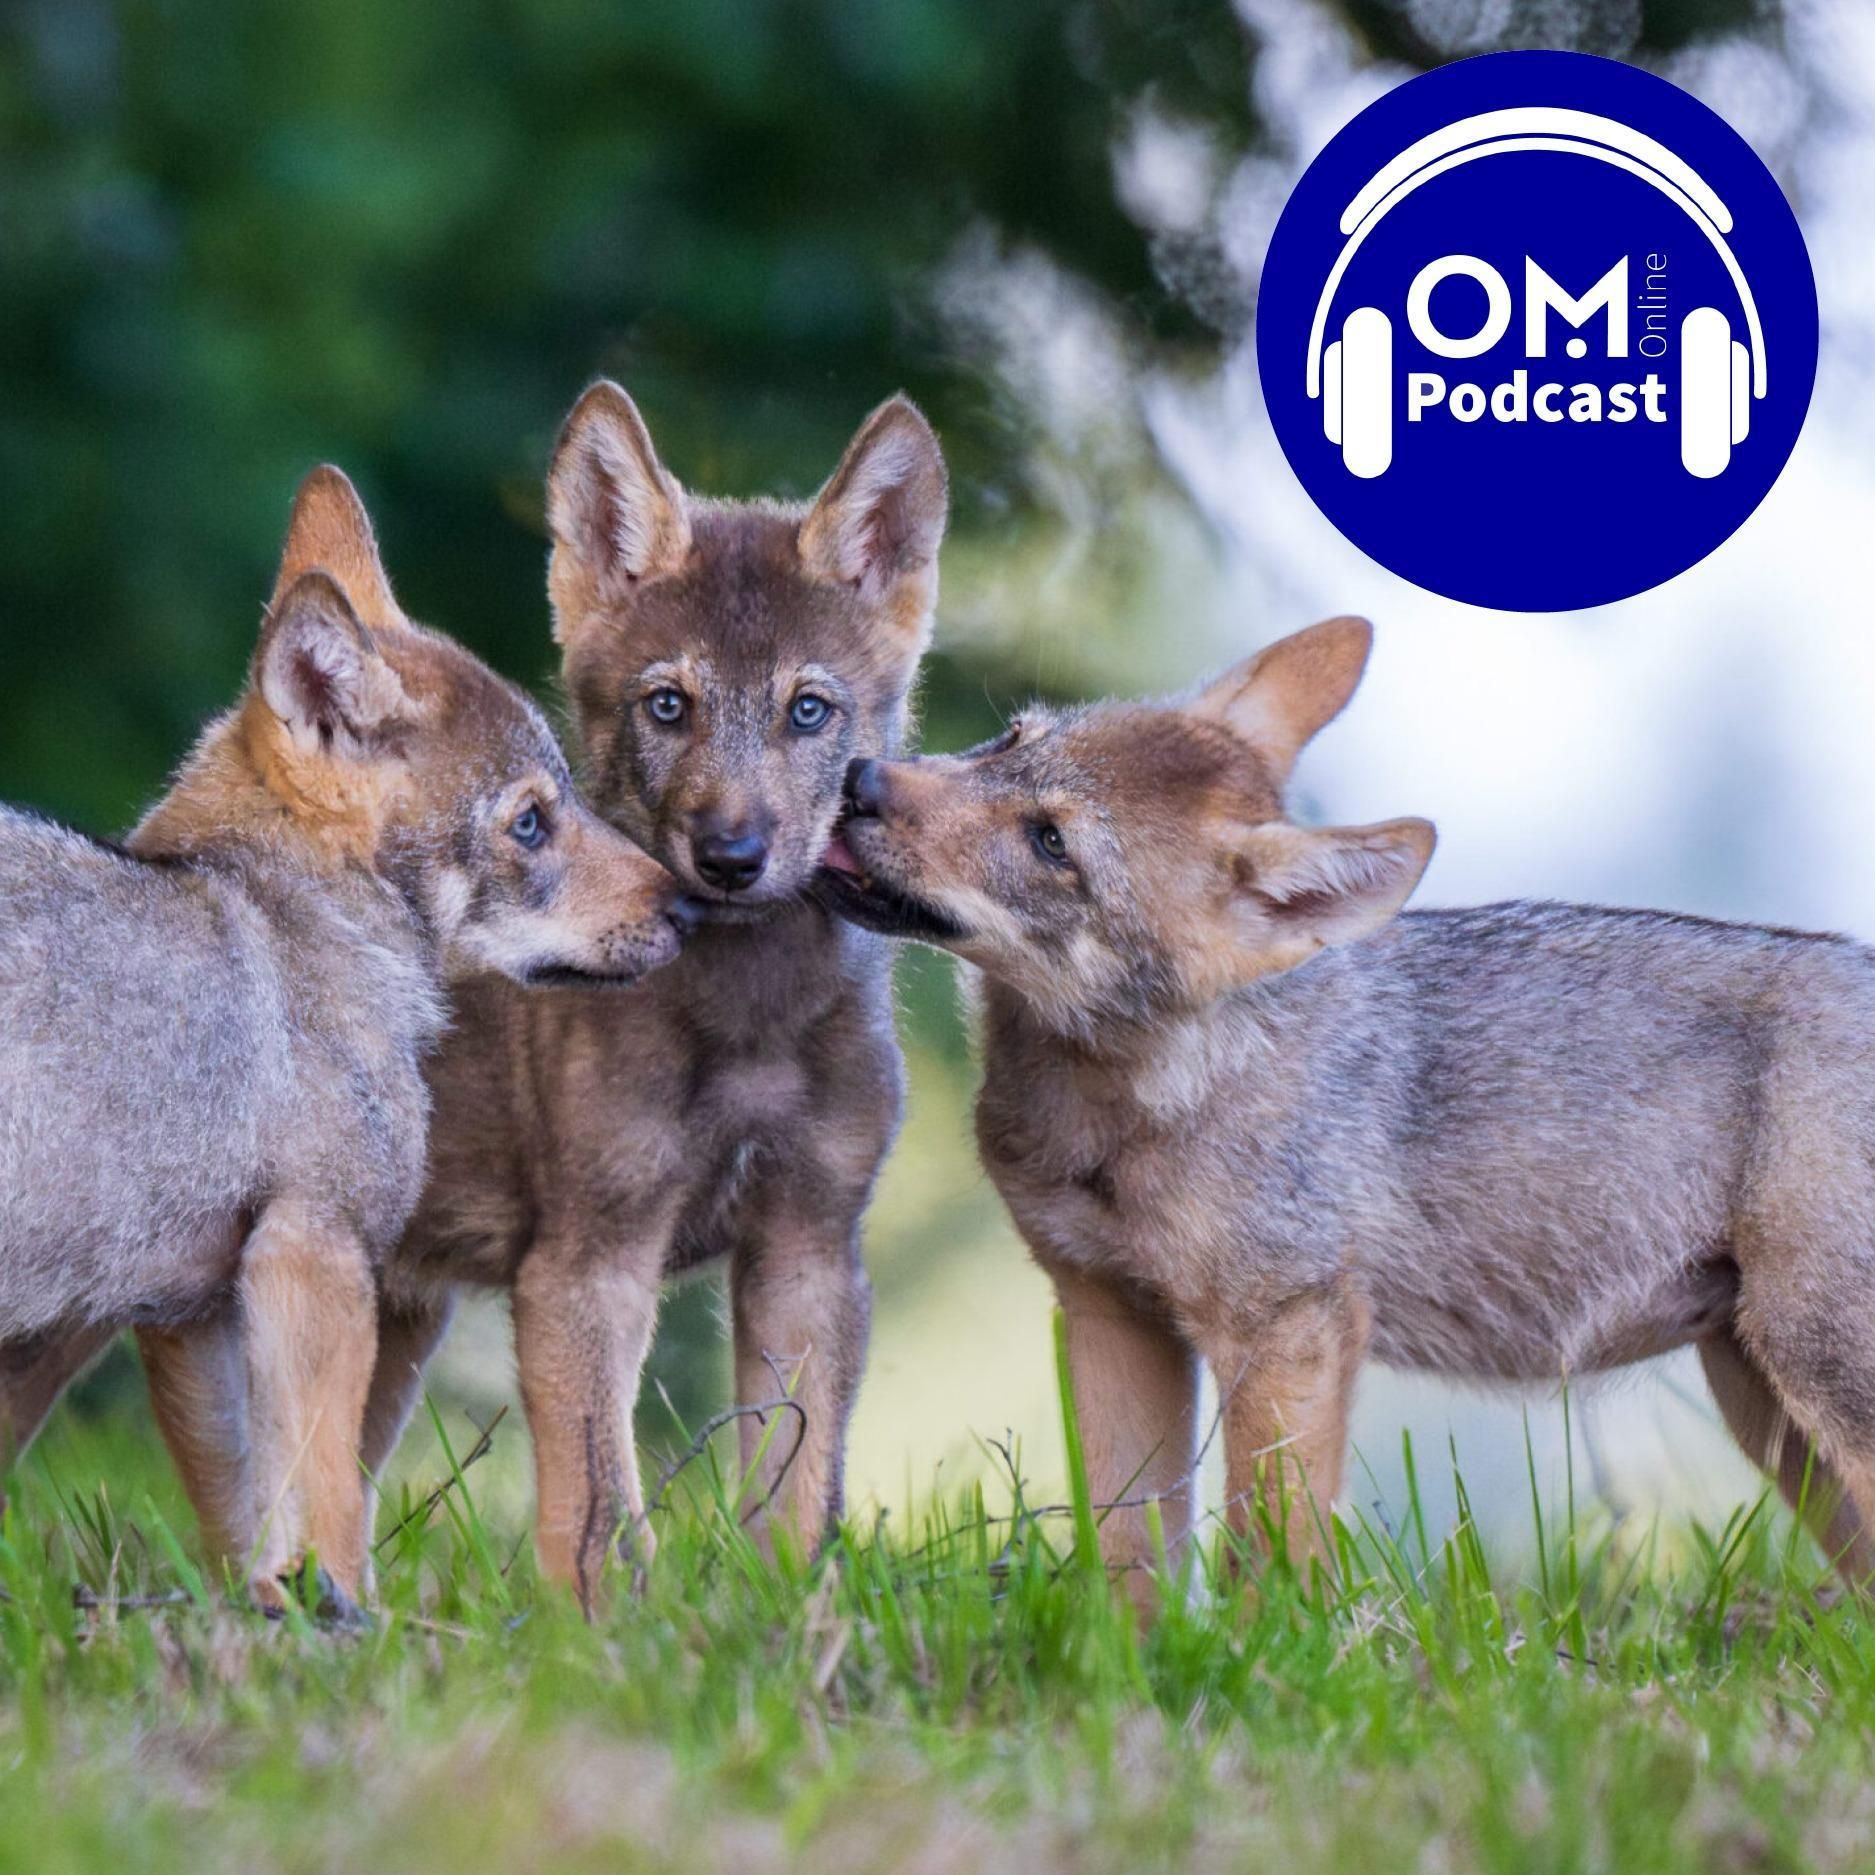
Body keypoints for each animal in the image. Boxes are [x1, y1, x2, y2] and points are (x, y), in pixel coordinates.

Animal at [0, 465, 689, 1613]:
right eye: (531, 822)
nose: (687, 906)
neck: (305, 921)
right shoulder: (315, 1256)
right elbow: (328, 1502)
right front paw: (344, 1623)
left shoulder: (193, 1313)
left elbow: (244, 1515)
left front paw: (269, 1621)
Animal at [373, 382, 948, 1609]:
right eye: (669, 706)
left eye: (810, 712)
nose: (729, 857)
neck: (747, 1025)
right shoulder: (590, 1261)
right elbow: (600, 1509)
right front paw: (603, 1635)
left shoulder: (809, 1246)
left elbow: (793, 1487)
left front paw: (787, 1621)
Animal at [818, 613, 1875, 1603]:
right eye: (1007, 738)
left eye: (1050, 843)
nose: (858, 778)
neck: (1118, 1108)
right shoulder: (1110, 1315)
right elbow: (1127, 1562)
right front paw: (1130, 1665)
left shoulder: (1288, 1327)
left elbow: (1269, 1556)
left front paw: (1254, 1663)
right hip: (1773, 1414)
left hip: (1814, 1378)